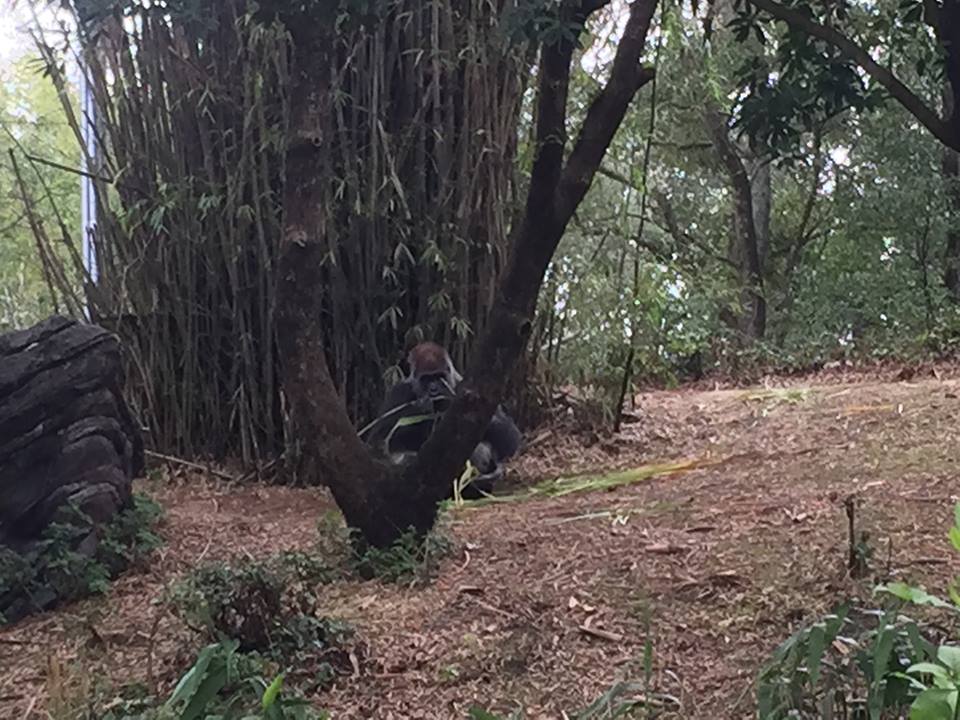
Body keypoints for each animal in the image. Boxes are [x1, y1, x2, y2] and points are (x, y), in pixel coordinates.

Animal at [360, 341, 521, 496]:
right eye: (426, 379)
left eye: (439, 377)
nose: (434, 390)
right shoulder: (397, 392)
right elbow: (378, 442)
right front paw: (420, 408)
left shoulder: (467, 385)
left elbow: (511, 439)